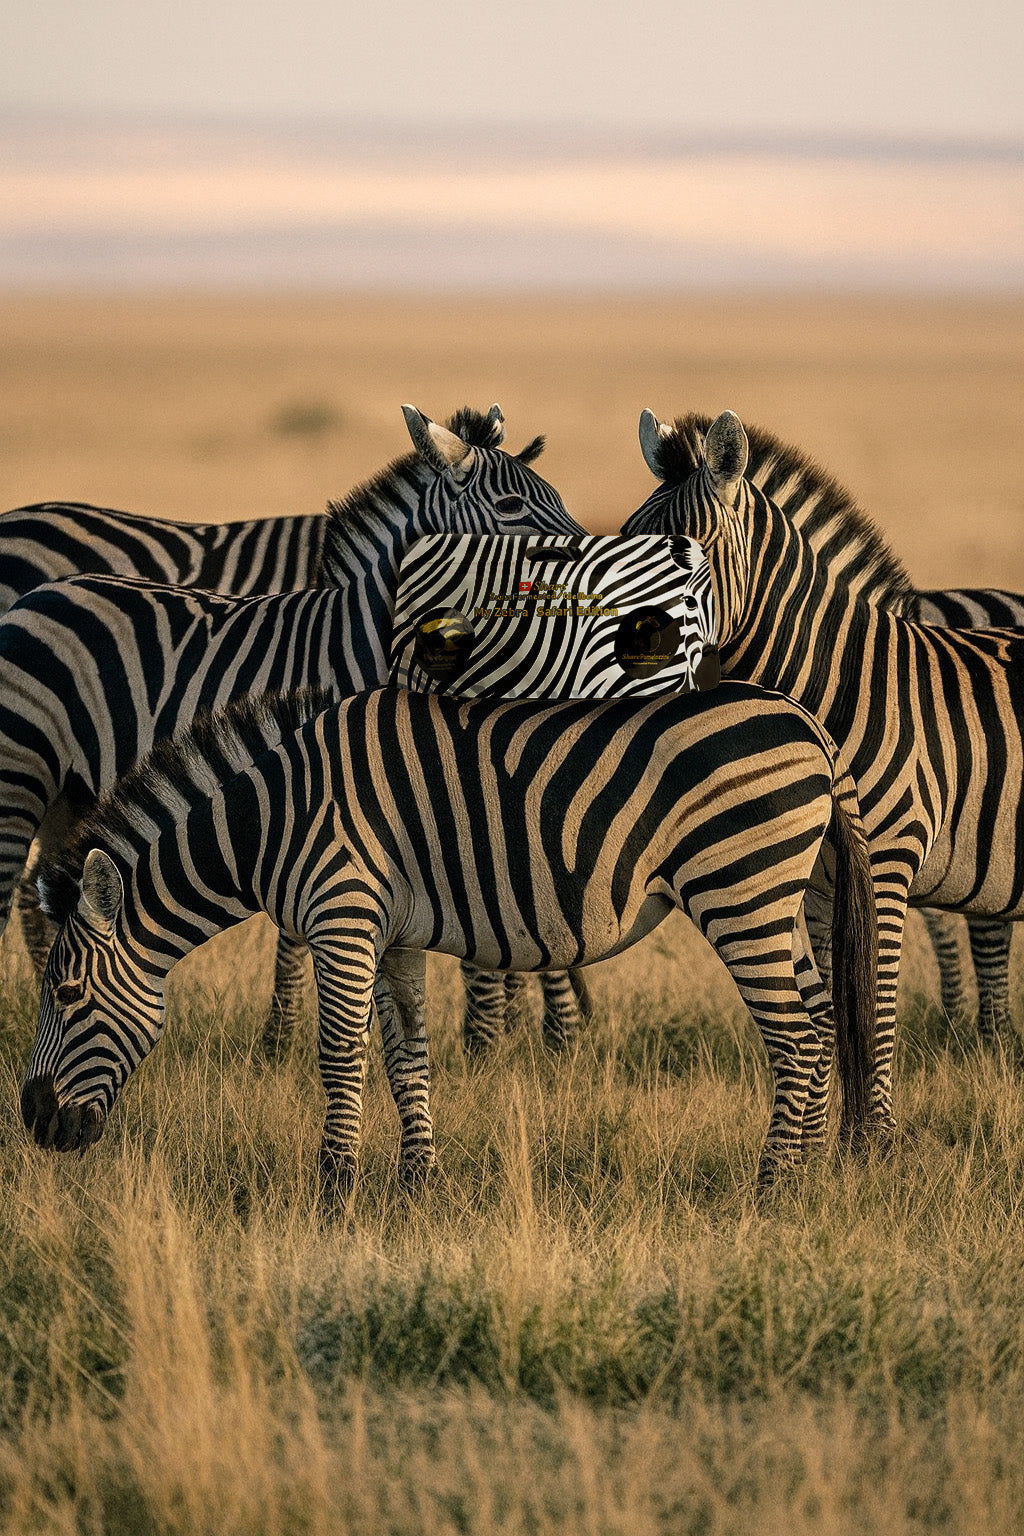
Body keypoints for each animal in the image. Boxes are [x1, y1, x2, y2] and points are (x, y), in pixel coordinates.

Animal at [23, 682, 877, 1198]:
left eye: (66, 992)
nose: (32, 1120)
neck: (274, 819)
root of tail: (812, 728)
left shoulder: (342, 913)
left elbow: (341, 1053)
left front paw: (334, 1190)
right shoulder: (390, 933)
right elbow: (406, 1052)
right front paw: (416, 1183)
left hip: (740, 888)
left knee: (797, 1038)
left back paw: (771, 1188)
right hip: (788, 895)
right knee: (821, 1021)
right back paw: (808, 1176)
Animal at [624, 407, 1024, 1140]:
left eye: (688, 555)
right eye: (624, 545)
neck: (840, 686)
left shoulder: (887, 863)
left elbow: (875, 1007)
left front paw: (877, 1143)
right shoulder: (815, 879)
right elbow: (832, 1014)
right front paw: (834, 1148)